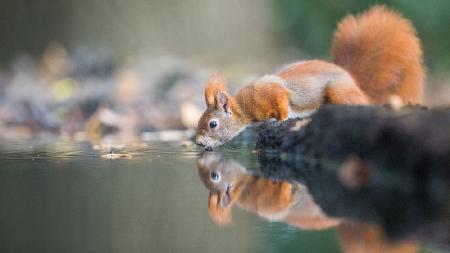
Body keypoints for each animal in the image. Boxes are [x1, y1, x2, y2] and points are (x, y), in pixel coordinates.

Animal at [195, 5, 424, 147]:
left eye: (212, 124)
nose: (198, 143)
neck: (245, 108)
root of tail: (352, 79)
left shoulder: (272, 92)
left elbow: (281, 103)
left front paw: (281, 120)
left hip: (338, 89)